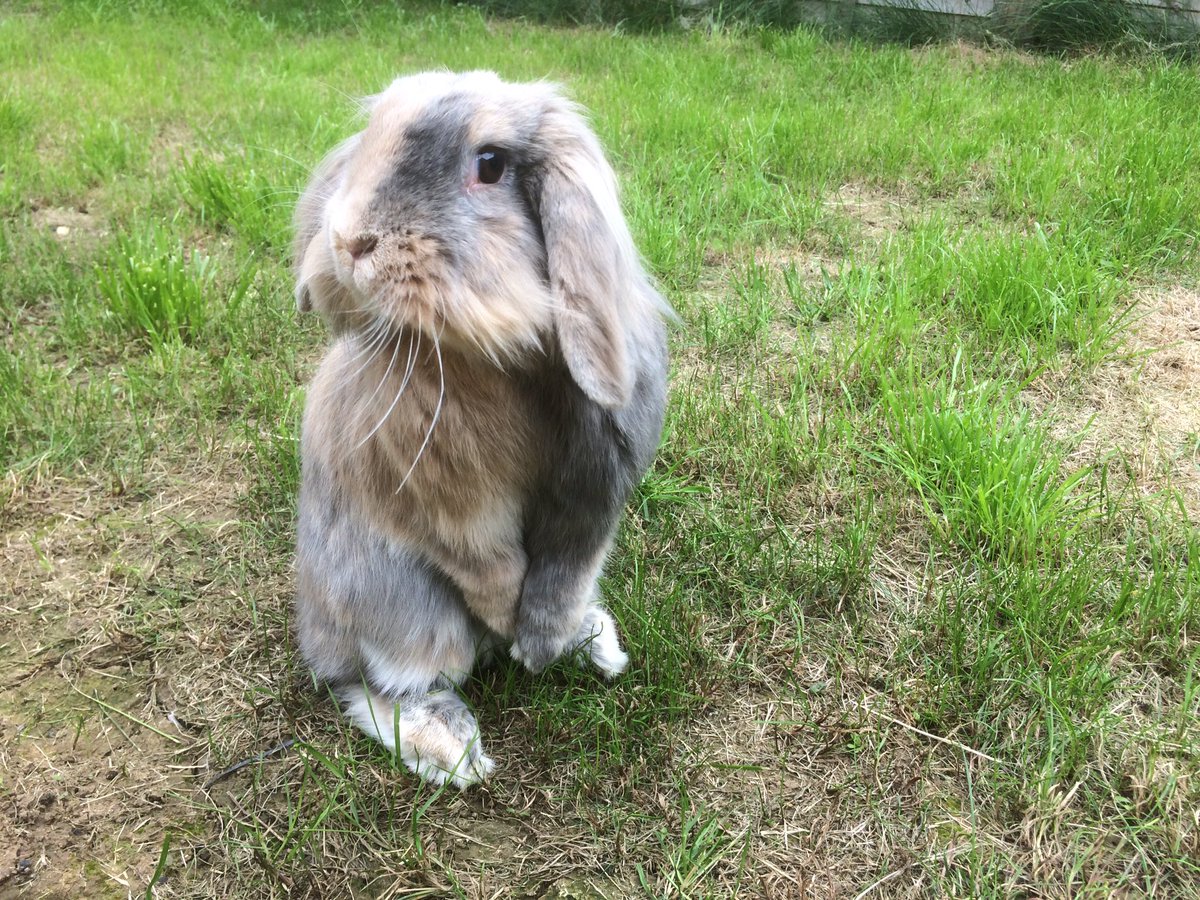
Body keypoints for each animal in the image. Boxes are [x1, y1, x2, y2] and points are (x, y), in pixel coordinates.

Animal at [292, 71, 670, 787]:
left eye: (490, 164)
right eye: (373, 133)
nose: (349, 242)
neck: (496, 359)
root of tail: (316, 629)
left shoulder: (591, 498)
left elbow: (561, 579)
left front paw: (539, 647)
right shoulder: (453, 509)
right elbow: (490, 568)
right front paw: (506, 629)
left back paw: (595, 644)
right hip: (401, 606)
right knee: (368, 684)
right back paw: (452, 749)